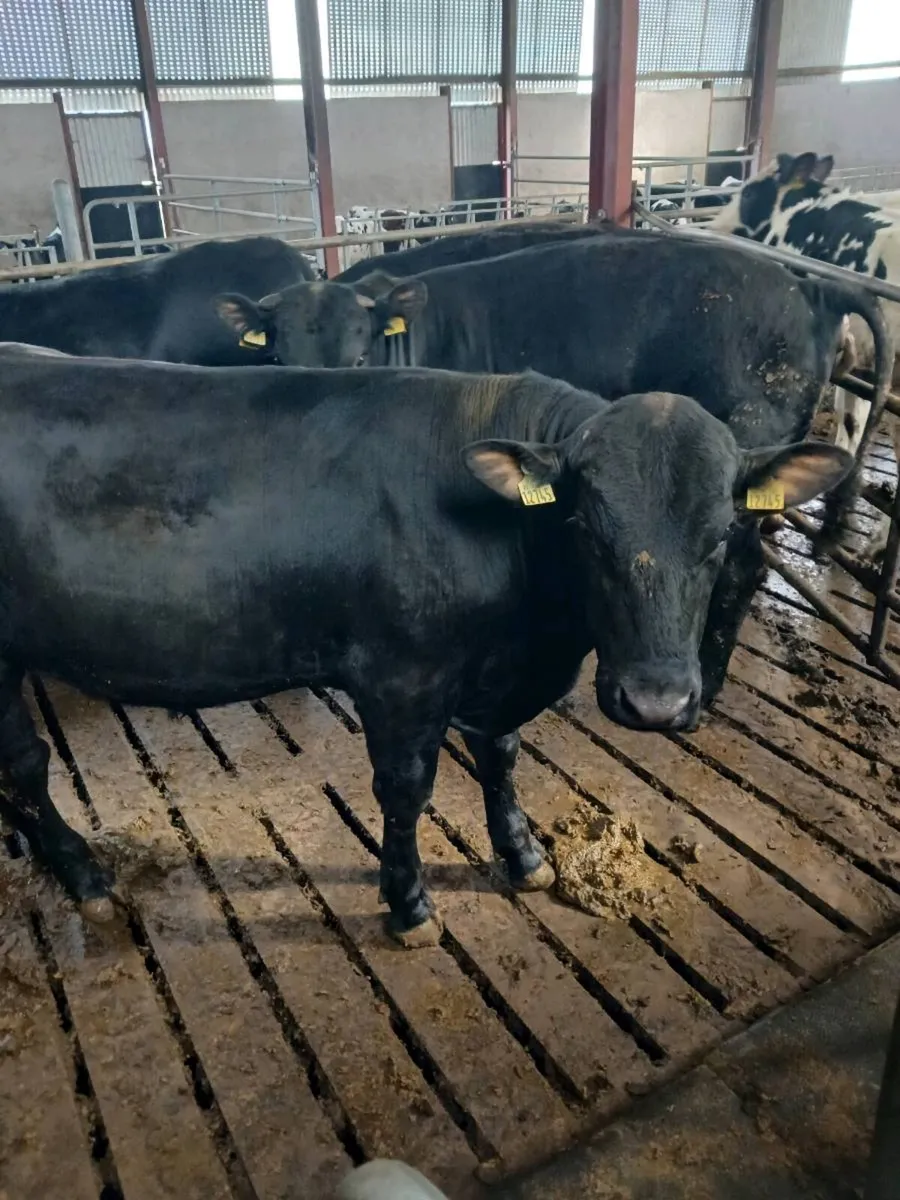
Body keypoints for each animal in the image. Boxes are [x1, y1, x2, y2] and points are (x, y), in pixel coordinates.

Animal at [0, 344, 851, 943]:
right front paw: (408, 904)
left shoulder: (496, 674)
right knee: (27, 764)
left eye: (722, 534)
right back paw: (82, 874)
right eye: (584, 525)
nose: (657, 701)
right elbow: (407, 789)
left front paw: (523, 856)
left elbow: (501, 755)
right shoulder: (400, 677)